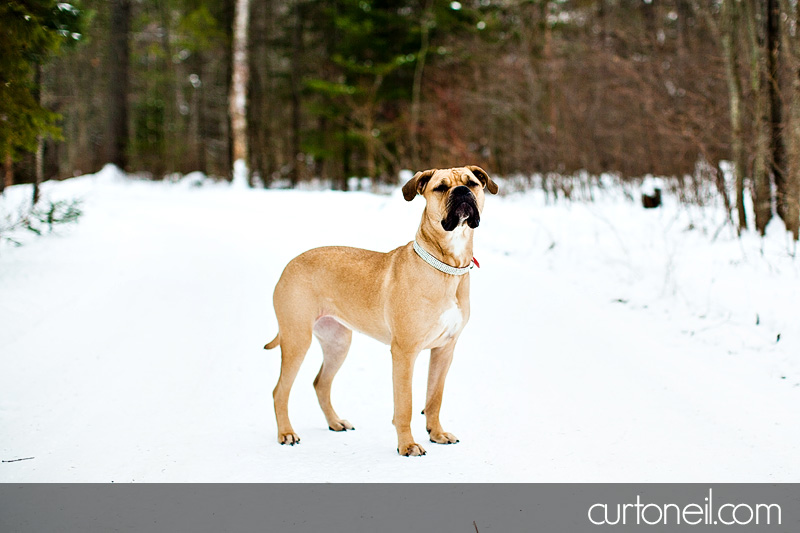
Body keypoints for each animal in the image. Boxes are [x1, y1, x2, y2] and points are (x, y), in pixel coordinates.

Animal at [266, 165, 496, 454]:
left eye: (472, 183)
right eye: (441, 187)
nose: (462, 191)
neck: (445, 268)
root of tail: (290, 264)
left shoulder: (444, 350)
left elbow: (434, 398)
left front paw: (437, 433)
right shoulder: (404, 352)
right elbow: (405, 405)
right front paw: (408, 446)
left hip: (337, 342)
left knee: (321, 383)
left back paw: (335, 422)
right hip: (297, 338)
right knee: (280, 391)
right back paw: (286, 433)